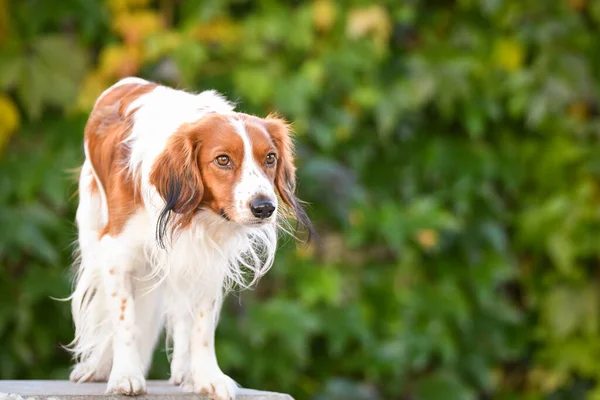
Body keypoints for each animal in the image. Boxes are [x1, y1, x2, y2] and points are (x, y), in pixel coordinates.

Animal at [67, 76, 314, 398]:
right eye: (223, 160)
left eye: (270, 158)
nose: (264, 207)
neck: (193, 212)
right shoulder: (115, 255)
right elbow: (124, 320)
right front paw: (125, 375)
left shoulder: (208, 259)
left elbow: (201, 327)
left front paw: (208, 376)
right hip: (92, 232)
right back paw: (96, 366)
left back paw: (186, 372)